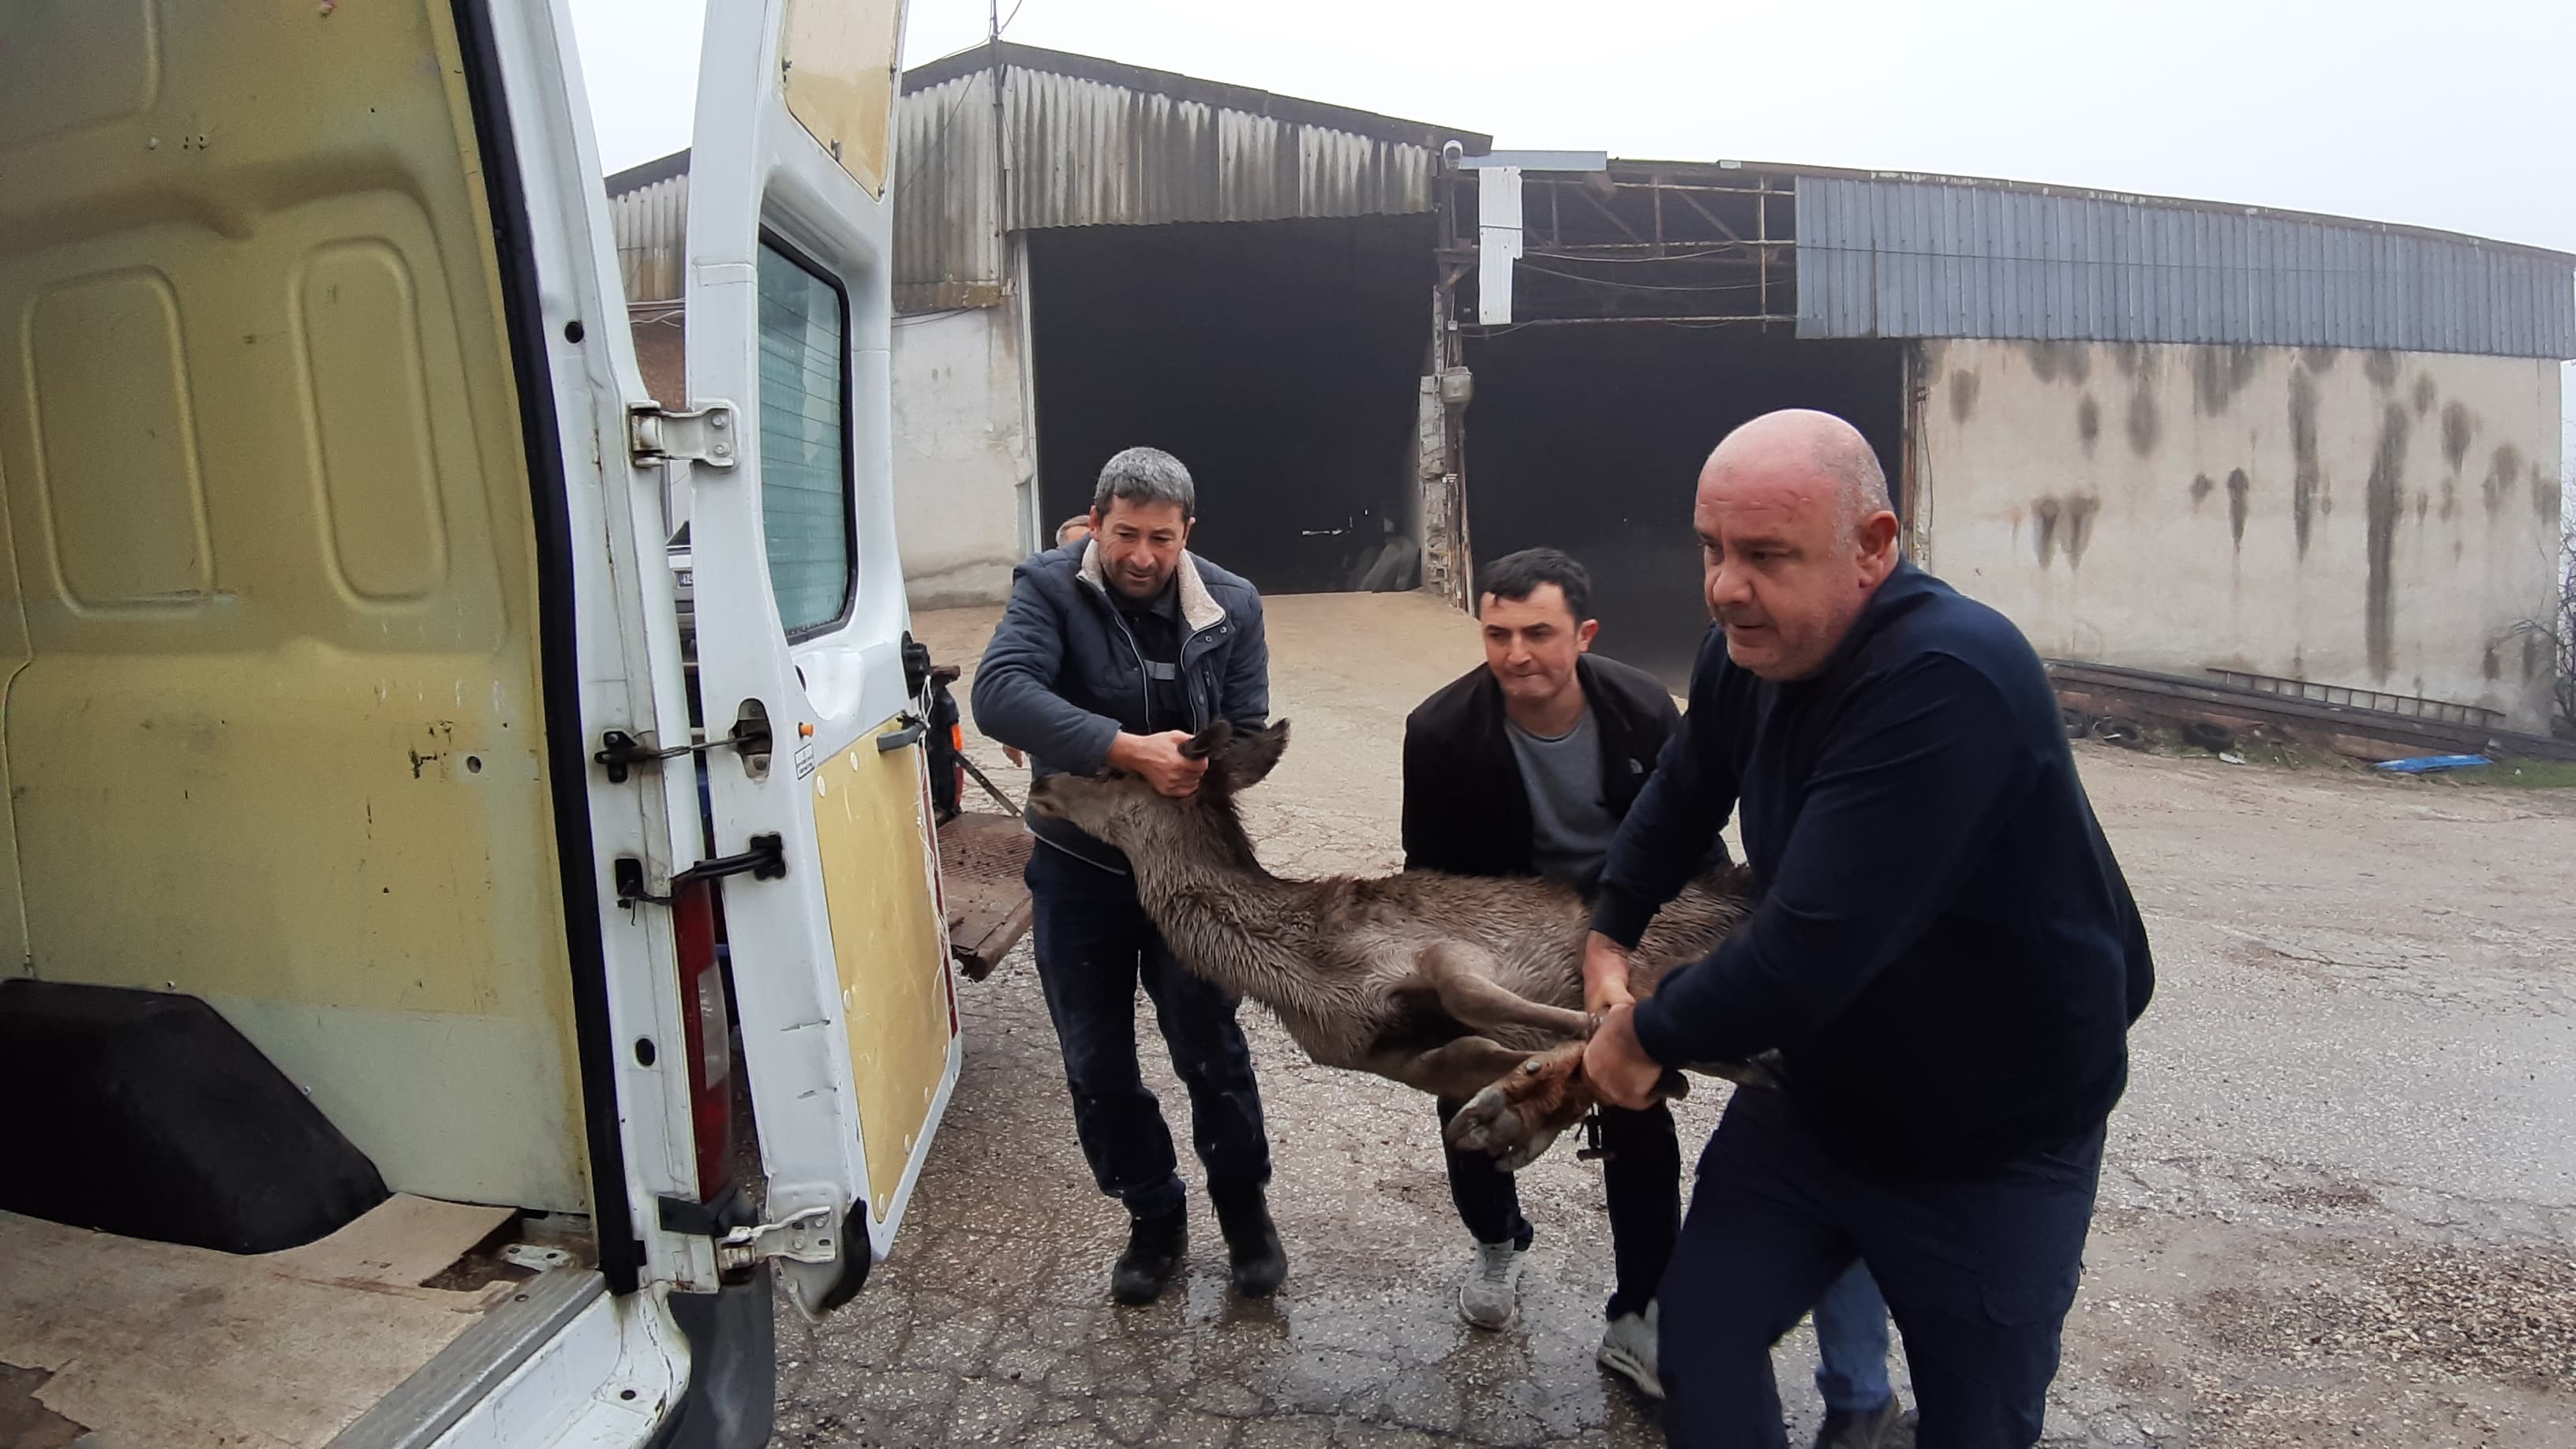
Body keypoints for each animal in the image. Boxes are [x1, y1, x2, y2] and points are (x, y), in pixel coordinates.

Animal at [1015, 717, 1782, 1165]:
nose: (1042, 780)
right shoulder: (1381, 1055)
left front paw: (1585, 1029)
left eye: (1116, 767)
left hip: (1667, 945)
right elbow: (1471, 1052)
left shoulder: (1446, 947)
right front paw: (1532, 1090)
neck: (1306, 972)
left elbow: (1475, 997)